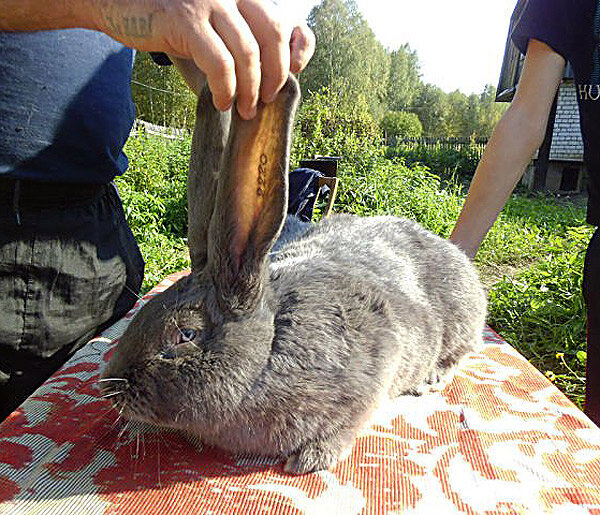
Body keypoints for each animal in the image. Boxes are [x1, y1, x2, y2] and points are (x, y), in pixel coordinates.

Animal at [102, 73, 488, 476]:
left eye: (186, 335)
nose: (109, 389)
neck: (270, 345)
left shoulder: (373, 373)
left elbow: (349, 424)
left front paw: (309, 459)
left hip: (460, 321)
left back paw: (431, 377)